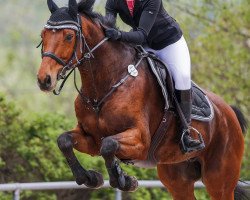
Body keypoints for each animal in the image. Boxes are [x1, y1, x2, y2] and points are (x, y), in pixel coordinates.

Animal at [36, 0, 249, 199]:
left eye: (69, 36)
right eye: (42, 36)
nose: (44, 80)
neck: (106, 84)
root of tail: (229, 112)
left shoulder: (140, 141)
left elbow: (109, 145)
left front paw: (123, 180)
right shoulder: (91, 139)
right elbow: (64, 141)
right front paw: (91, 178)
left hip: (219, 180)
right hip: (177, 177)